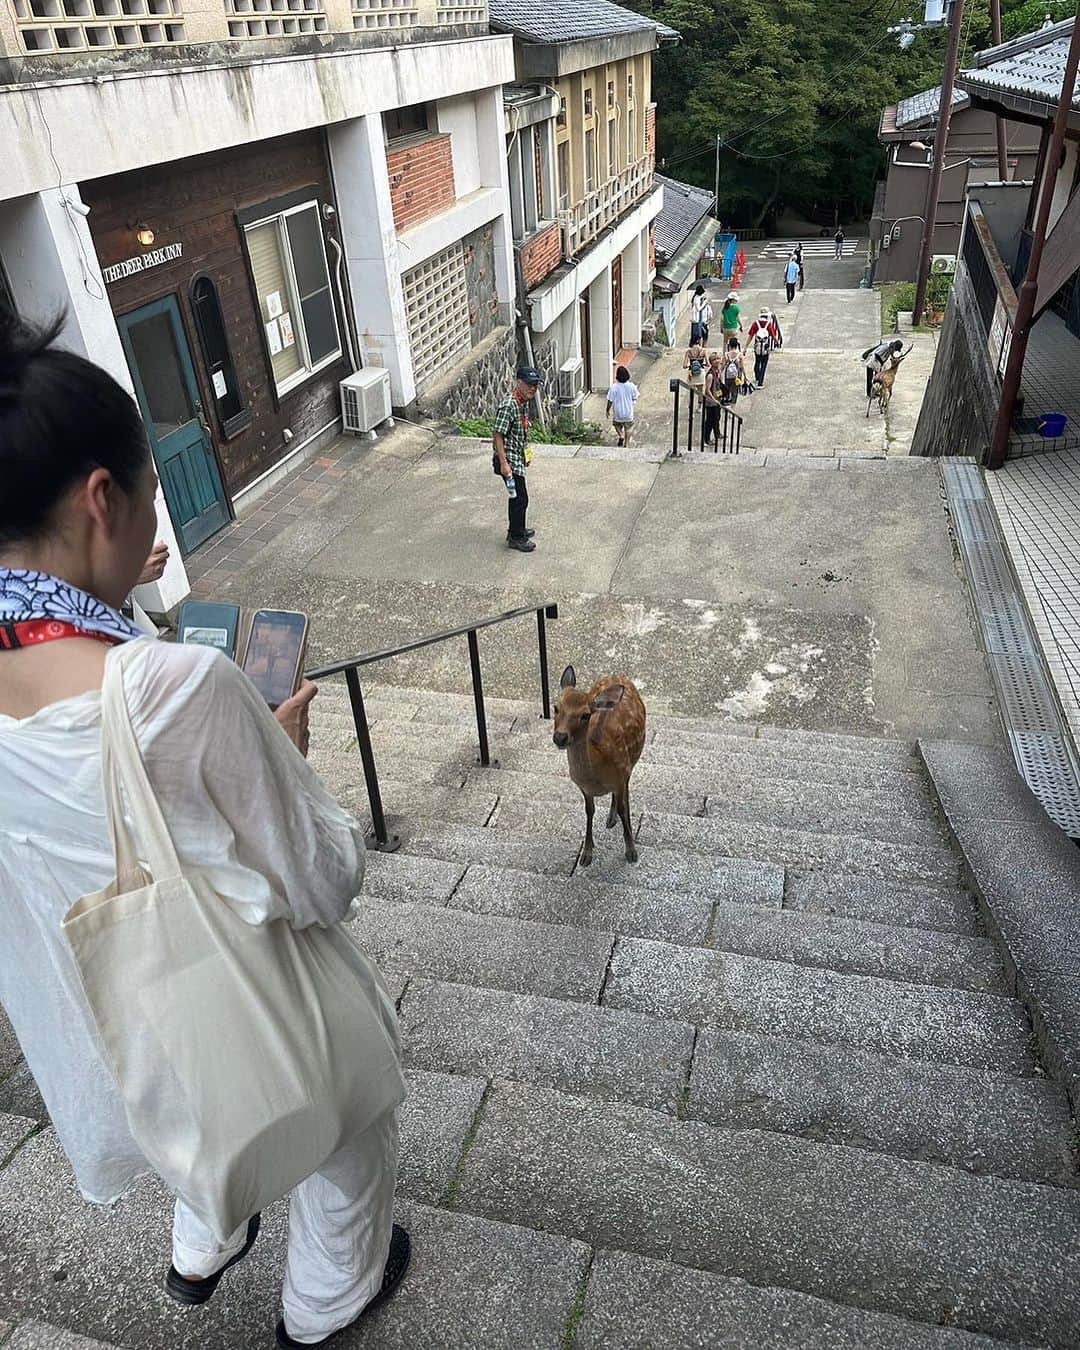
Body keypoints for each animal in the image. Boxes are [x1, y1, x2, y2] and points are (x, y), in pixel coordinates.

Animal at [553, 664, 645, 864]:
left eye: (585, 715)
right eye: (555, 707)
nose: (560, 737)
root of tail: (618, 675)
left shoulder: (620, 775)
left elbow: (623, 809)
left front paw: (631, 851)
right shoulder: (583, 788)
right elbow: (589, 811)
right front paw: (587, 853)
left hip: (631, 762)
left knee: (625, 794)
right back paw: (610, 818)